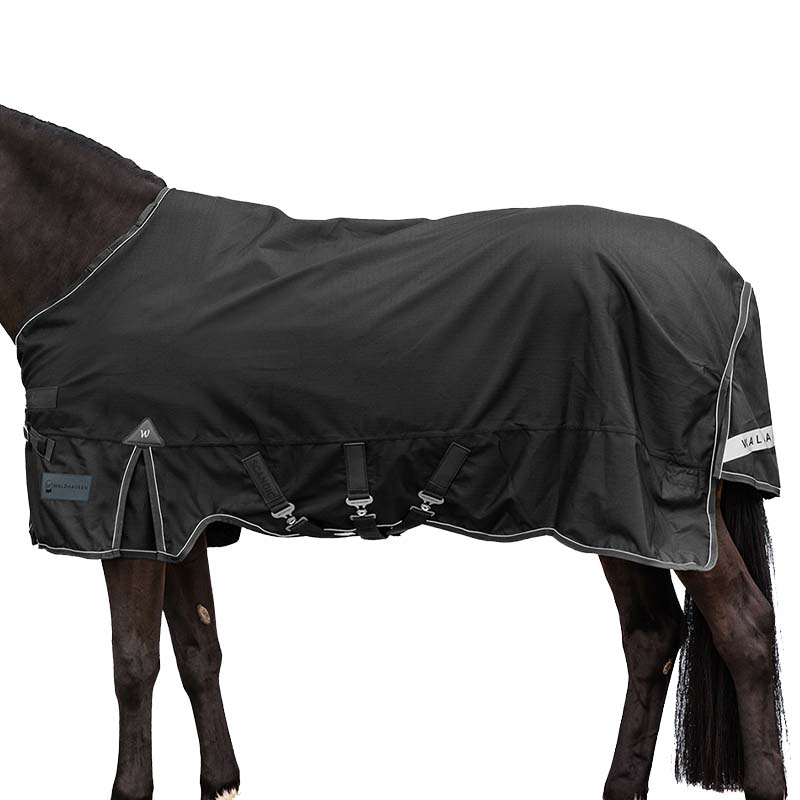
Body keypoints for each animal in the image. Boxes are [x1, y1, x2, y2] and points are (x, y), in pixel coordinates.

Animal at [0, 105, 786, 800]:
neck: (91, 260)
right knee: (651, 637)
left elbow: (133, 665)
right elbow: (199, 652)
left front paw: (130, 789)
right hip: (616, 516)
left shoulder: (120, 501)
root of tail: (731, 280)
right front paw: (221, 782)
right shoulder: (173, 508)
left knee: (745, 629)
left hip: (660, 504)